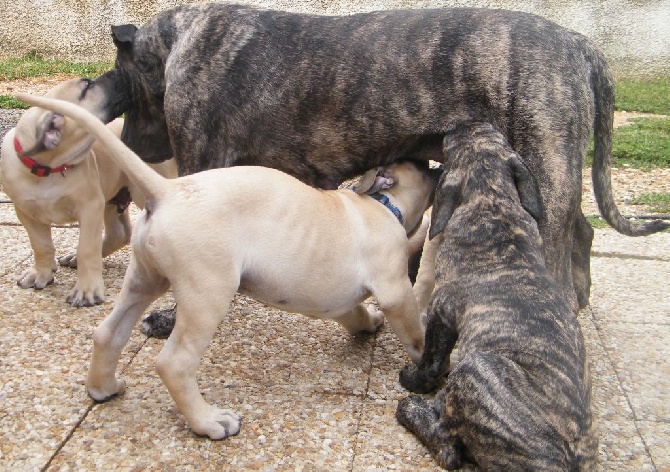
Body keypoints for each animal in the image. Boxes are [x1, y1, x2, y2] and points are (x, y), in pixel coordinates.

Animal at [1, 78, 176, 306]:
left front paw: (87, 291)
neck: (48, 168)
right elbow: (40, 244)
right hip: (113, 198)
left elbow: (86, 248)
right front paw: (42, 273)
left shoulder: (90, 206)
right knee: (120, 233)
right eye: (87, 87)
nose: (121, 75)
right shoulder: (25, 211)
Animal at [396, 123, 596, 470]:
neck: (492, 200)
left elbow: (432, 359)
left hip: (475, 371)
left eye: (451, 144)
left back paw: (411, 409)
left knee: (448, 447)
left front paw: (414, 380)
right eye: (496, 134)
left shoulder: (442, 308)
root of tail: (560, 461)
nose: (465, 123)